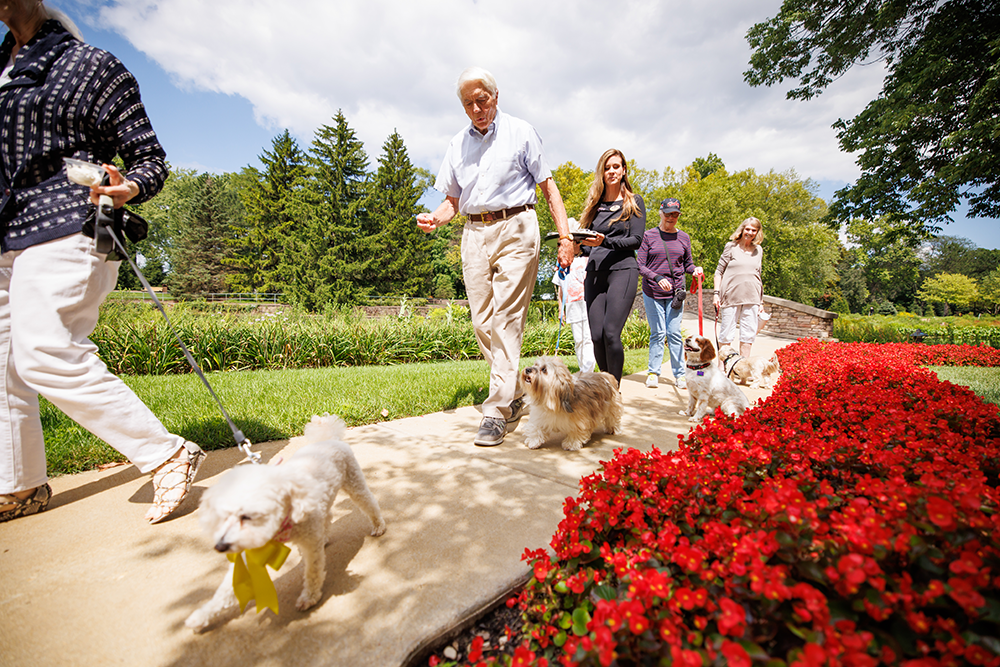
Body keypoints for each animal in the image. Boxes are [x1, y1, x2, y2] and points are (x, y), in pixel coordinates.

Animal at [184, 414, 386, 636]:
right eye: (223, 516)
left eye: (246, 516)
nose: (220, 546)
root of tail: (328, 438)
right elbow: (228, 588)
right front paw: (201, 616)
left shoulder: (309, 545)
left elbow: (312, 572)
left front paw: (309, 597)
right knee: (327, 516)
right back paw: (325, 536)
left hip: (354, 481)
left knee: (368, 502)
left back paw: (378, 526)